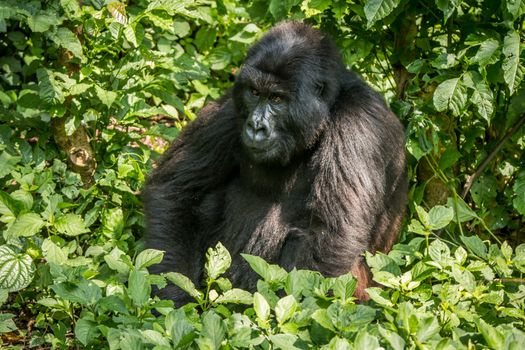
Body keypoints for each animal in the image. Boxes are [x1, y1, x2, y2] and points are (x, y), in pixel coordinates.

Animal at [142, 21, 406, 304]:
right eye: (255, 93)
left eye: (277, 99)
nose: (256, 127)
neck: (328, 109)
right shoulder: (231, 107)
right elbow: (176, 191)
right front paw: (174, 302)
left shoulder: (360, 124)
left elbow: (329, 239)